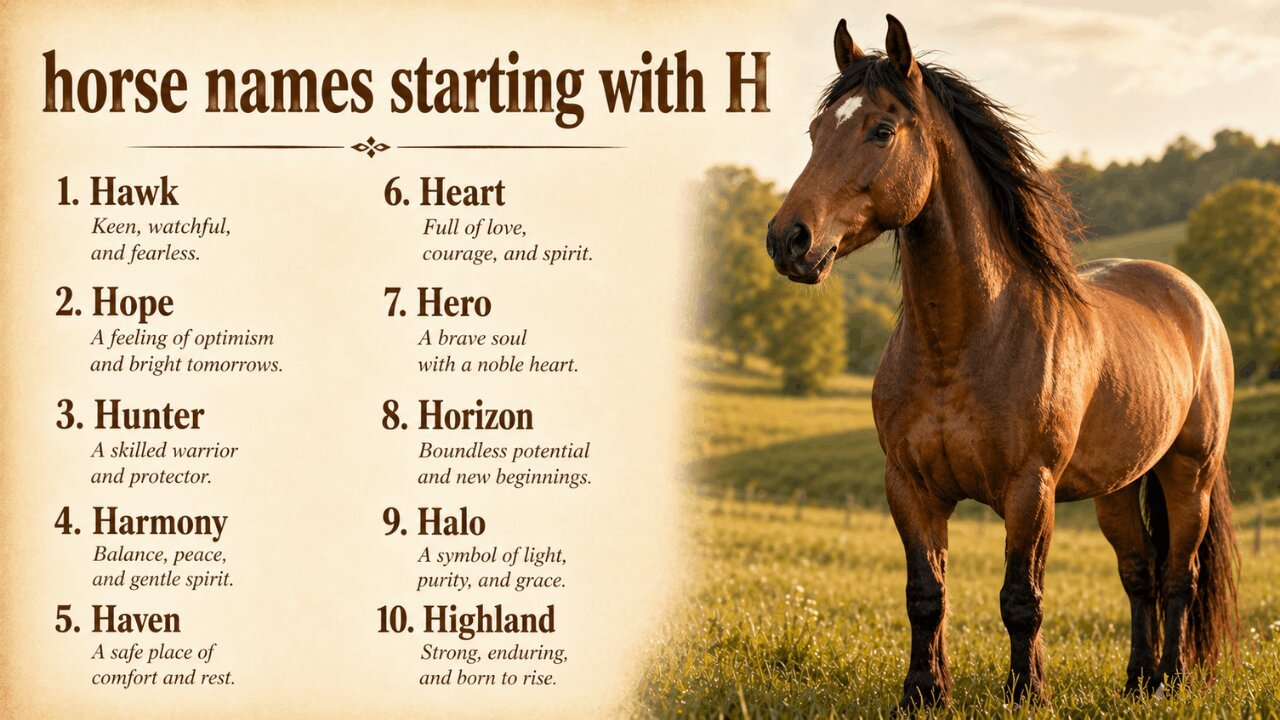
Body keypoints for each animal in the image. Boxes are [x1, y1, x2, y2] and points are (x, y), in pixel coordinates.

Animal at [765, 14, 1238, 711]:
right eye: (815, 131)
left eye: (881, 129)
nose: (788, 239)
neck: (961, 344)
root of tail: (1192, 298)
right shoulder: (910, 487)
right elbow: (926, 595)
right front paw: (923, 694)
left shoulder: (1028, 489)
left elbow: (1022, 598)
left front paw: (1027, 693)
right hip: (1118, 488)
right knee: (1139, 573)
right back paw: (1136, 681)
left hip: (1189, 473)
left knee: (1181, 574)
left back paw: (1169, 682)